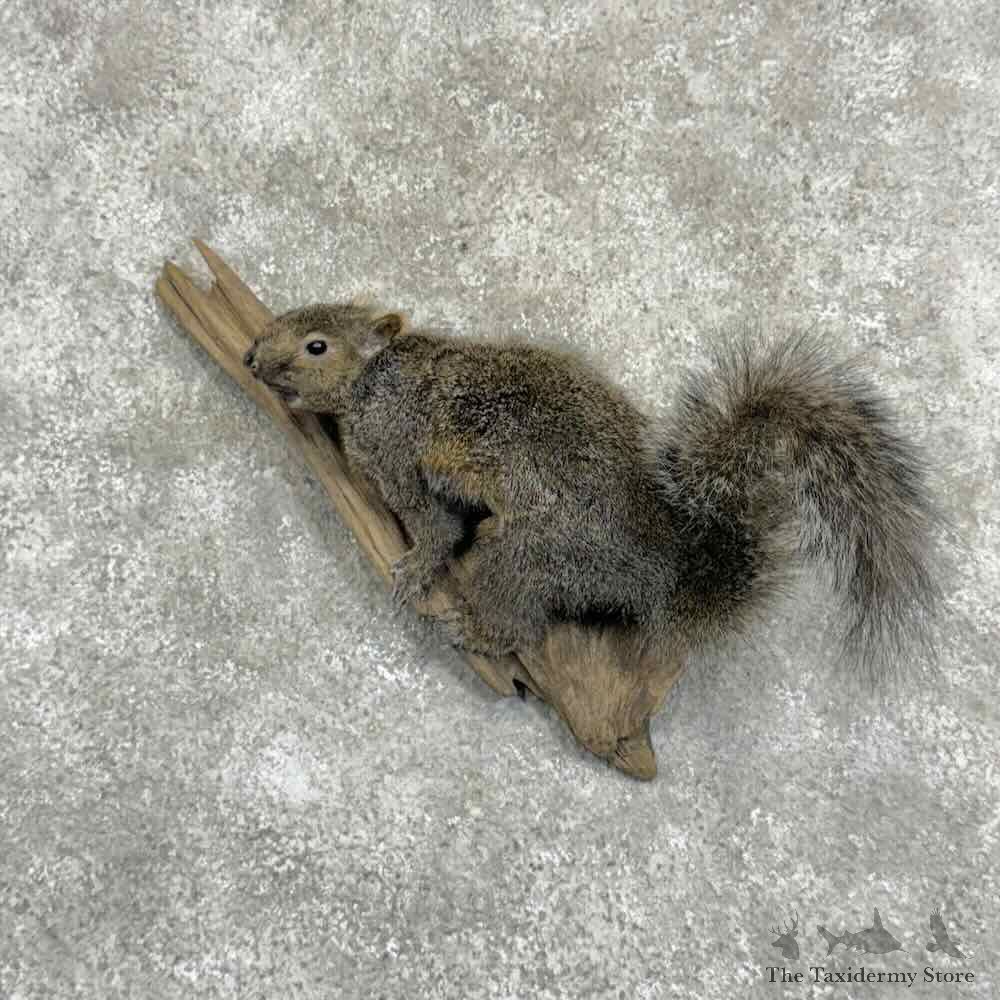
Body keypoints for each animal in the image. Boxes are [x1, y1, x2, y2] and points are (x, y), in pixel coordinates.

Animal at [242, 301, 939, 676]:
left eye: (316, 345)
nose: (250, 357)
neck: (376, 381)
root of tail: (663, 564)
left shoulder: (398, 456)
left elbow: (438, 527)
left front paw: (414, 570)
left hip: (527, 556)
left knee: (520, 620)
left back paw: (477, 632)